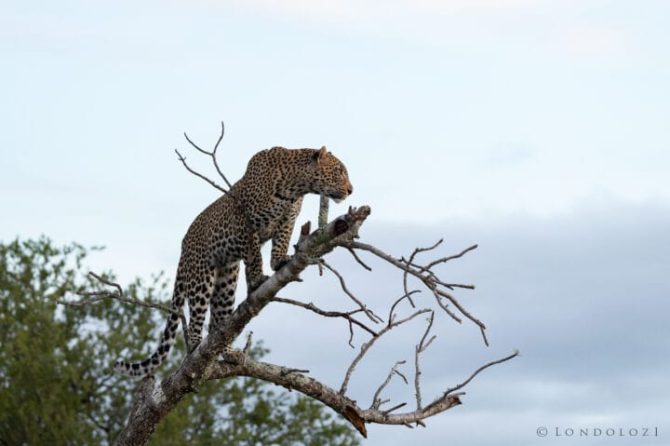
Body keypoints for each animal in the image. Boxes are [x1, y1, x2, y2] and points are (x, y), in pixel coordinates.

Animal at [114, 146, 353, 376]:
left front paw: (278, 262)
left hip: (226, 282)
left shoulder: (288, 220)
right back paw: (195, 346)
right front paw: (257, 280)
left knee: (217, 324)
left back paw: (228, 353)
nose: (351, 190)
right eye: (340, 171)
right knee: (196, 320)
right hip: (201, 277)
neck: (296, 187)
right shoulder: (245, 222)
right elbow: (255, 255)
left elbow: (281, 242)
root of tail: (183, 247)